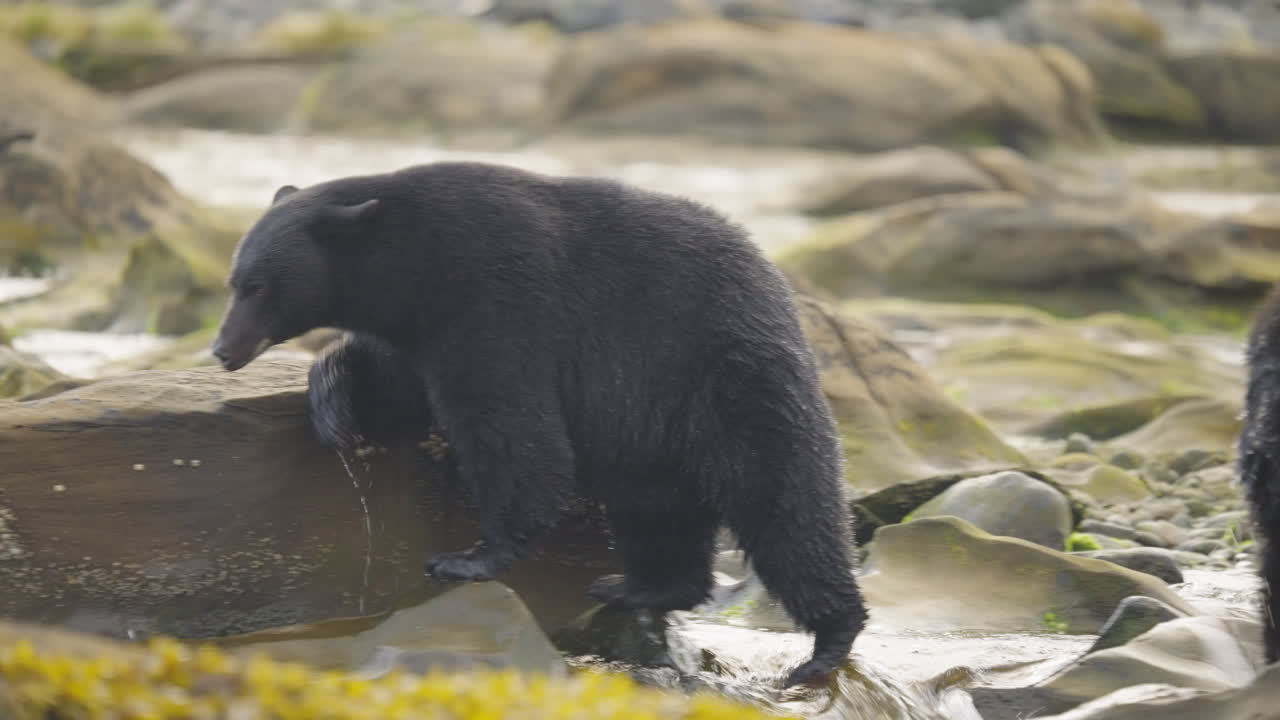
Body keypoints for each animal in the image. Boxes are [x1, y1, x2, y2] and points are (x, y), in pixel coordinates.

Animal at [210, 161, 868, 686]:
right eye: (234, 281)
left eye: (257, 285)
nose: (222, 348)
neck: (415, 260)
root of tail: (775, 279)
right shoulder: (420, 331)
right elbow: (395, 384)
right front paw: (335, 408)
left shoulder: (497, 304)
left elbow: (513, 434)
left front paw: (469, 556)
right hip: (659, 436)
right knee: (658, 513)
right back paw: (639, 585)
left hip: (730, 379)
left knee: (788, 508)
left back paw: (826, 641)